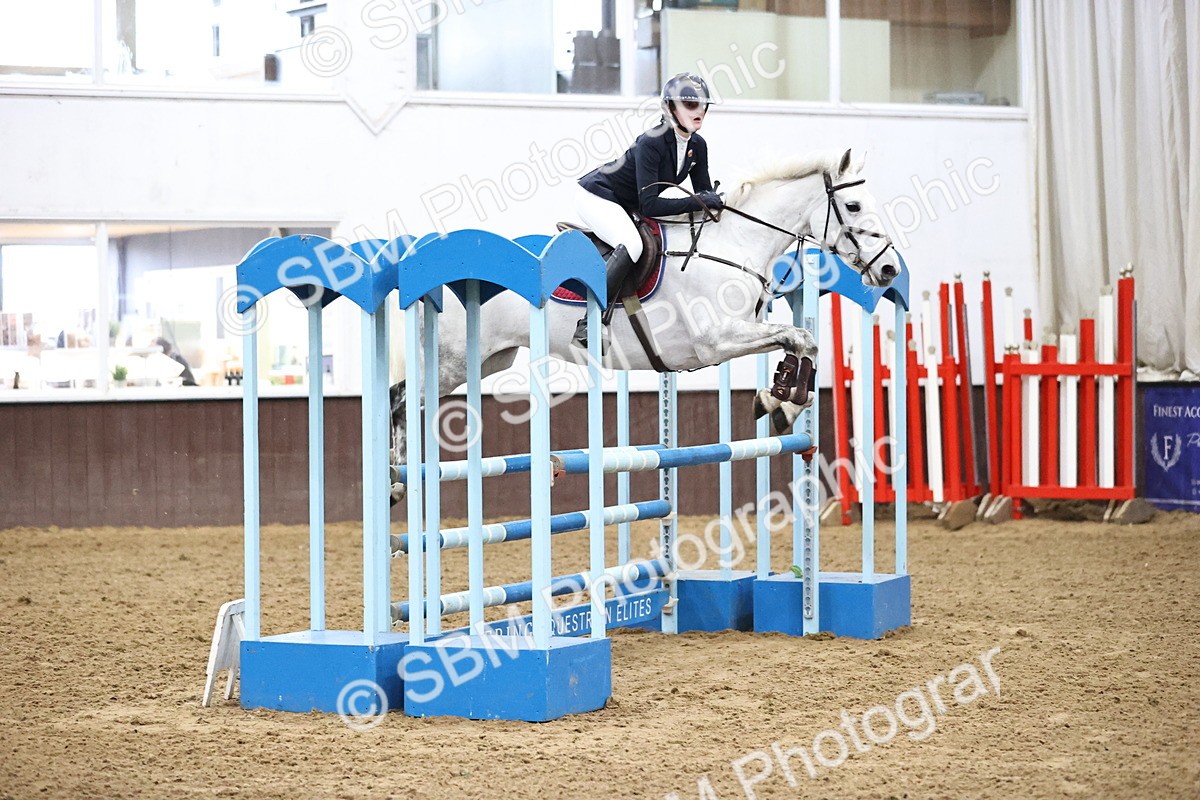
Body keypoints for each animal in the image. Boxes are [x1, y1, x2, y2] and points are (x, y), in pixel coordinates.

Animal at [389, 149, 898, 502]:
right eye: (854, 206)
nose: (890, 269)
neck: (736, 243)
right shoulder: (716, 341)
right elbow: (799, 336)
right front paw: (781, 400)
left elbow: (803, 342)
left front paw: (781, 401)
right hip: (450, 361)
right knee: (399, 400)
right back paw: (395, 480)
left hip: (486, 360)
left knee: (410, 402)